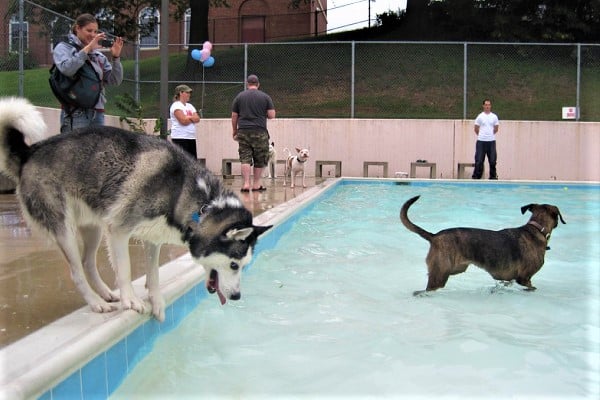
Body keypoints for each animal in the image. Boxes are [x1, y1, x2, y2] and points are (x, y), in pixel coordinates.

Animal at [0, 97, 272, 322]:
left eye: (244, 264)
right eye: (234, 265)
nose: (236, 296)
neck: (196, 203)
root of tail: (30, 152)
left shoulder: (153, 238)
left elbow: (153, 274)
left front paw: (156, 301)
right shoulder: (118, 229)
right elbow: (125, 269)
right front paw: (130, 300)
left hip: (93, 226)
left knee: (88, 262)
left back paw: (106, 294)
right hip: (64, 227)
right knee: (76, 270)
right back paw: (96, 302)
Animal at [400, 195, 564, 296]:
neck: (537, 229)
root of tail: (434, 236)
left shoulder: (510, 279)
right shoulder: (524, 278)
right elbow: (531, 287)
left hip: (454, 269)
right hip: (441, 274)